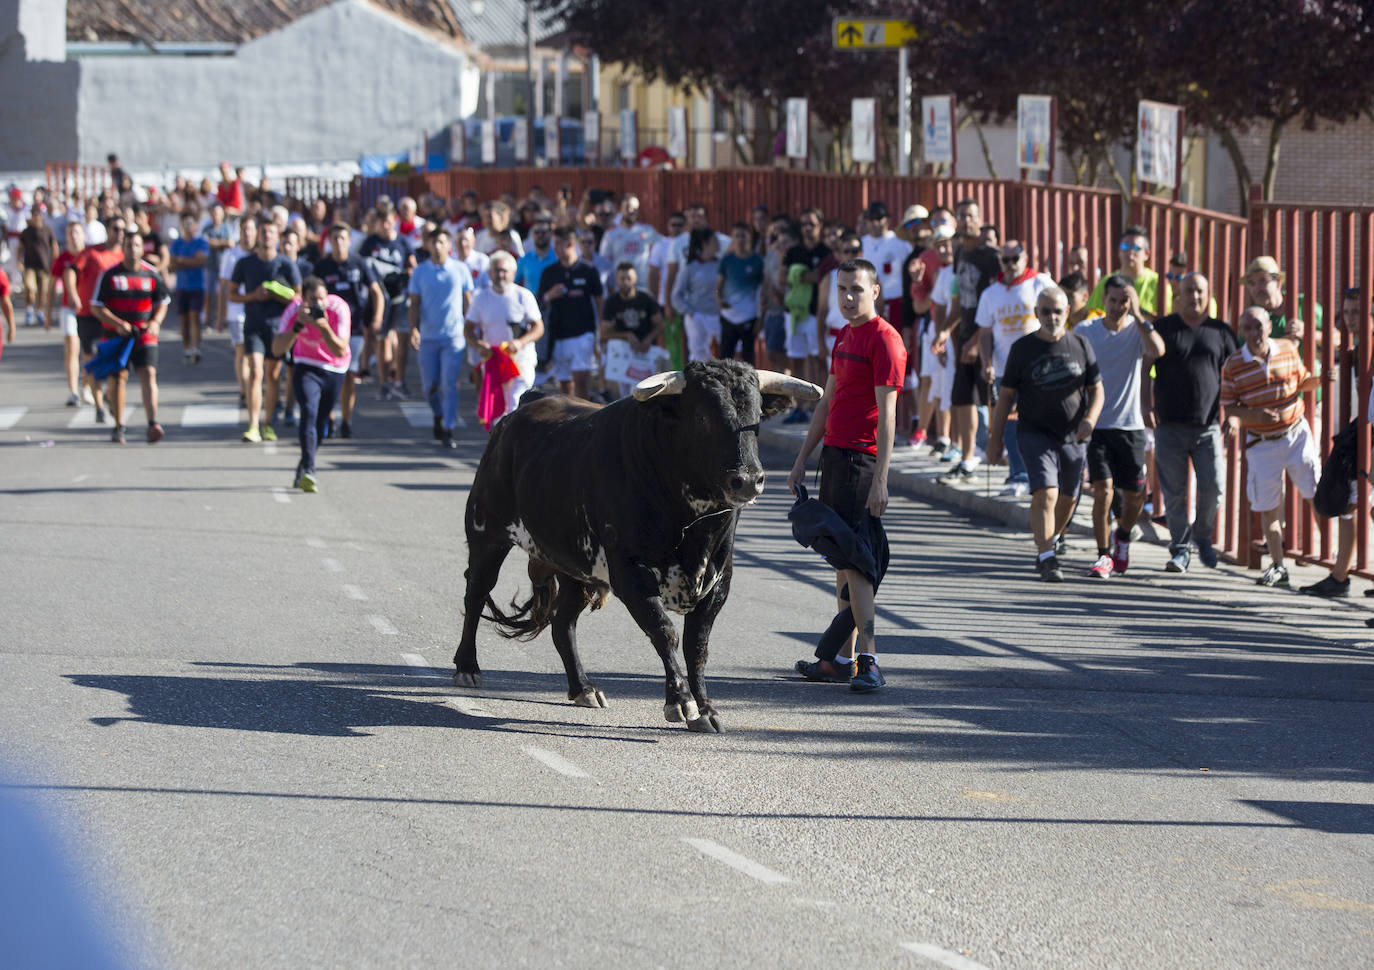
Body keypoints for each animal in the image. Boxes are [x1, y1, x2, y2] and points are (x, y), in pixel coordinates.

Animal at [453, 359, 813, 730]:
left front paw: (707, 710)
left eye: (756, 418)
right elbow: (664, 631)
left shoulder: (718, 580)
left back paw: (583, 688)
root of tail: (529, 402)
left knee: (563, 623)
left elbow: (697, 646)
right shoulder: (631, 572)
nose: (748, 480)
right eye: (702, 417)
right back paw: (467, 668)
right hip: (487, 534)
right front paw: (681, 702)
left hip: (576, 568)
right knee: (476, 593)